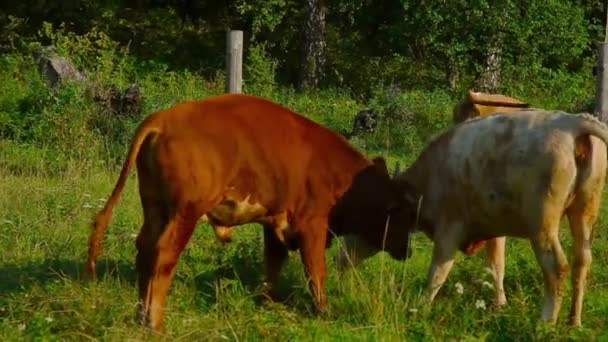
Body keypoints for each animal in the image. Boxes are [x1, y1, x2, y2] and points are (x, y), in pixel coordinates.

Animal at [84, 92, 414, 332]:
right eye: (402, 217)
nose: (408, 251)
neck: (344, 178)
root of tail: (163, 119)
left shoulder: (275, 223)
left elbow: (273, 265)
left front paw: (265, 301)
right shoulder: (313, 227)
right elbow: (315, 271)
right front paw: (323, 310)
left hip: (155, 207)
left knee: (144, 249)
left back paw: (141, 315)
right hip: (185, 213)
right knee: (163, 254)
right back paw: (155, 322)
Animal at [338, 111, 608, 328]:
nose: (339, 261)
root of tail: (572, 122)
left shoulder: (448, 228)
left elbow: (437, 273)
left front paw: (420, 308)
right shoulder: (495, 228)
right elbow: (496, 267)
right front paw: (499, 305)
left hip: (542, 223)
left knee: (556, 266)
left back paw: (546, 323)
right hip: (585, 212)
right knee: (582, 261)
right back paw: (574, 321)